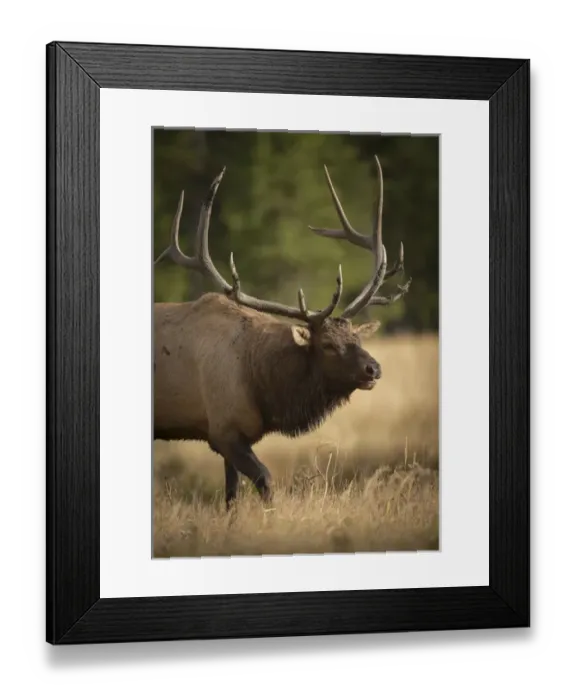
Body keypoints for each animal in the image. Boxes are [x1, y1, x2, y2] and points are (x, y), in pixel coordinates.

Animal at [153, 155, 411, 509]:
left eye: (357, 338)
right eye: (327, 344)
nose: (373, 368)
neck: (262, 386)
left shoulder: (233, 434)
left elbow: (231, 495)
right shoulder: (222, 429)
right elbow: (265, 478)